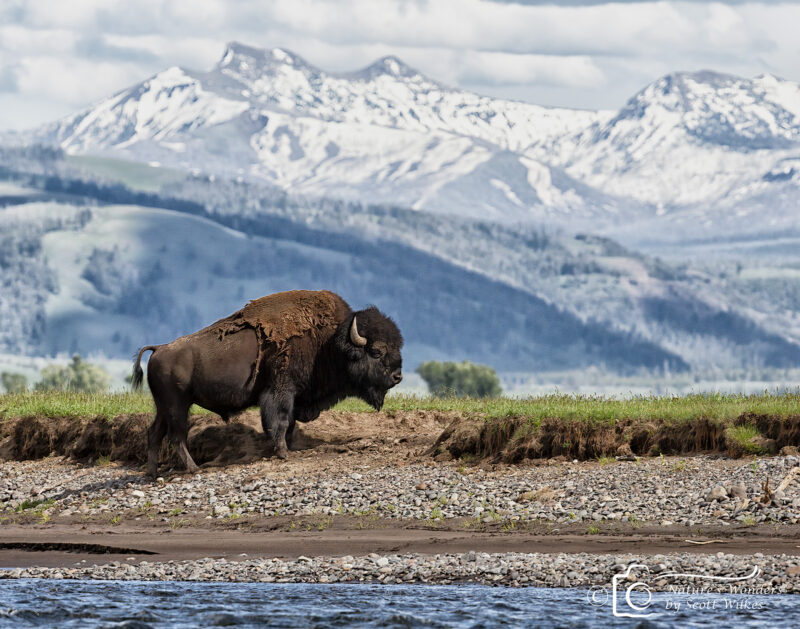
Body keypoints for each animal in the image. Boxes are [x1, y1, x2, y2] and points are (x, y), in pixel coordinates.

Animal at [135, 290, 406, 476]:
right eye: (377, 351)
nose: (398, 376)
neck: (328, 343)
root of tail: (159, 349)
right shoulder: (281, 392)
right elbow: (281, 422)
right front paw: (283, 453)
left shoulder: (294, 397)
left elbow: (291, 424)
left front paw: (290, 448)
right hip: (177, 406)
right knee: (177, 436)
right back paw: (193, 469)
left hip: (164, 407)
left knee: (155, 433)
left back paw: (152, 472)